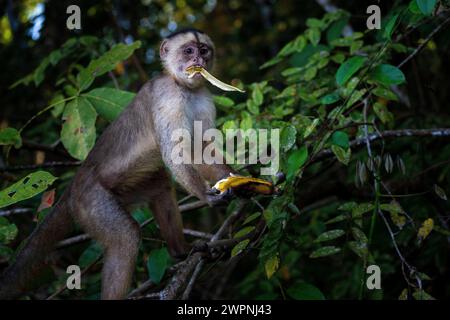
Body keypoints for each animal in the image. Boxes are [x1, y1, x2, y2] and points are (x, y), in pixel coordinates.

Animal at [0, 29, 237, 300]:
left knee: (160, 186)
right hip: (90, 202)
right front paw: (208, 196)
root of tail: (73, 186)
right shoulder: (167, 94)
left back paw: (180, 250)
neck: (184, 87)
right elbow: (174, 152)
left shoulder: (204, 97)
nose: (199, 59)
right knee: (126, 236)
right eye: (189, 51)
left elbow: (201, 148)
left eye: (204, 50)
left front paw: (242, 182)